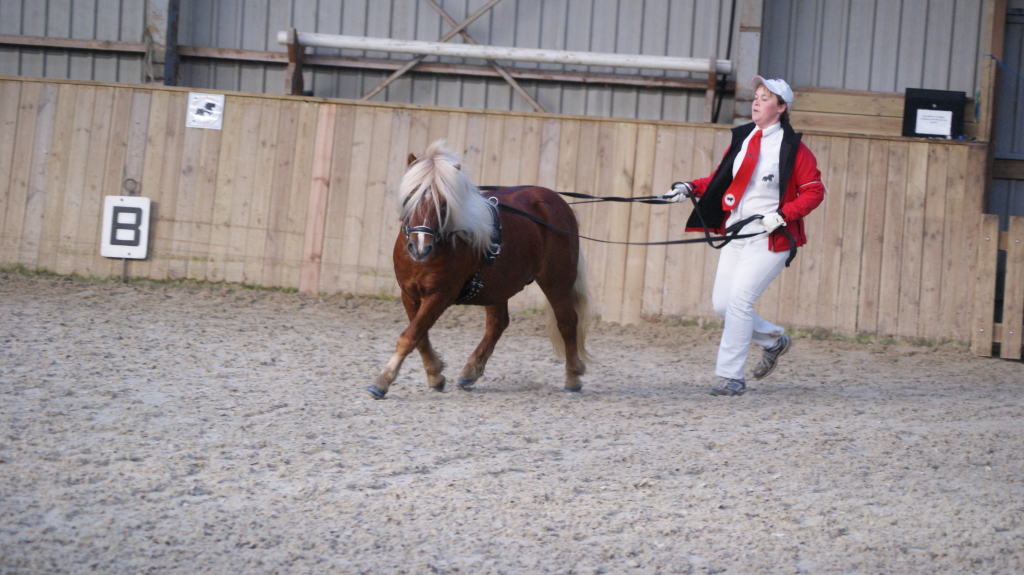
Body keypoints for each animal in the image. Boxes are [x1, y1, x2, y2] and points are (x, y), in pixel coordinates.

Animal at [368, 140, 593, 399]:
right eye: (411, 196)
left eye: (443, 203)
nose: (421, 247)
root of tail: (557, 203)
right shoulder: (409, 294)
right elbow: (420, 337)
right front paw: (435, 375)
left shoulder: (440, 295)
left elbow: (411, 336)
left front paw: (382, 381)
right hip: (497, 285)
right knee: (498, 324)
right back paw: (470, 371)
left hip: (556, 281)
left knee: (567, 321)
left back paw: (572, 377)